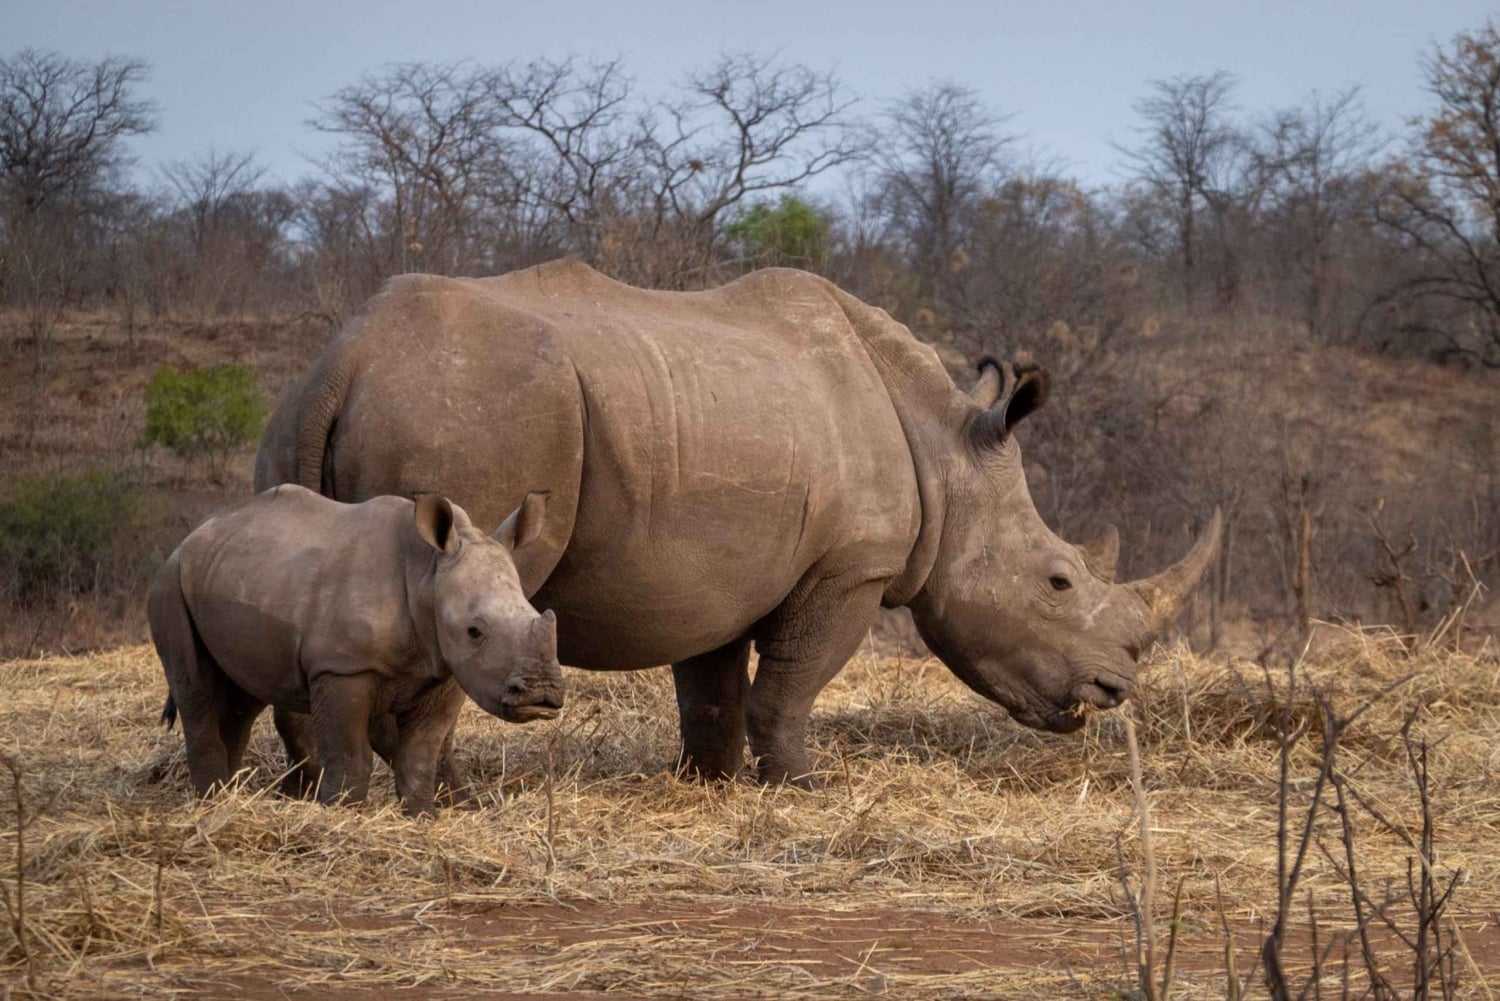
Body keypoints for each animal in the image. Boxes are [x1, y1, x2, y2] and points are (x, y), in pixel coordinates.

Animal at [148, 484, 565, 816]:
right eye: (474, 631)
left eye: (537, 615)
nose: (541, 694)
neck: (427, 574)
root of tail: (191, 536)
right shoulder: (341, 667)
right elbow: (350, 755)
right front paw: (343, 813)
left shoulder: (445, 671)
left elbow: (420, 755)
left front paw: (422, 816)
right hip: (169, 582)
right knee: (196, 690)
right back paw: (210, 804)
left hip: (237, 574)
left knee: (242, 696)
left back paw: (226, 798)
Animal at [257, 260, 1219, 786]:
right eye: (1058, 579)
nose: (1114, 690)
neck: (949, 457)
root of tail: (352, 357)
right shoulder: (852, 567)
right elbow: (793, 681)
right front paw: (804, 784)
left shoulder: (711, 568)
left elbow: (712, 689)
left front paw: (706, 781)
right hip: (474, 411)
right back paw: (451, 795)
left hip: (308, 410)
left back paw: (306, 789)